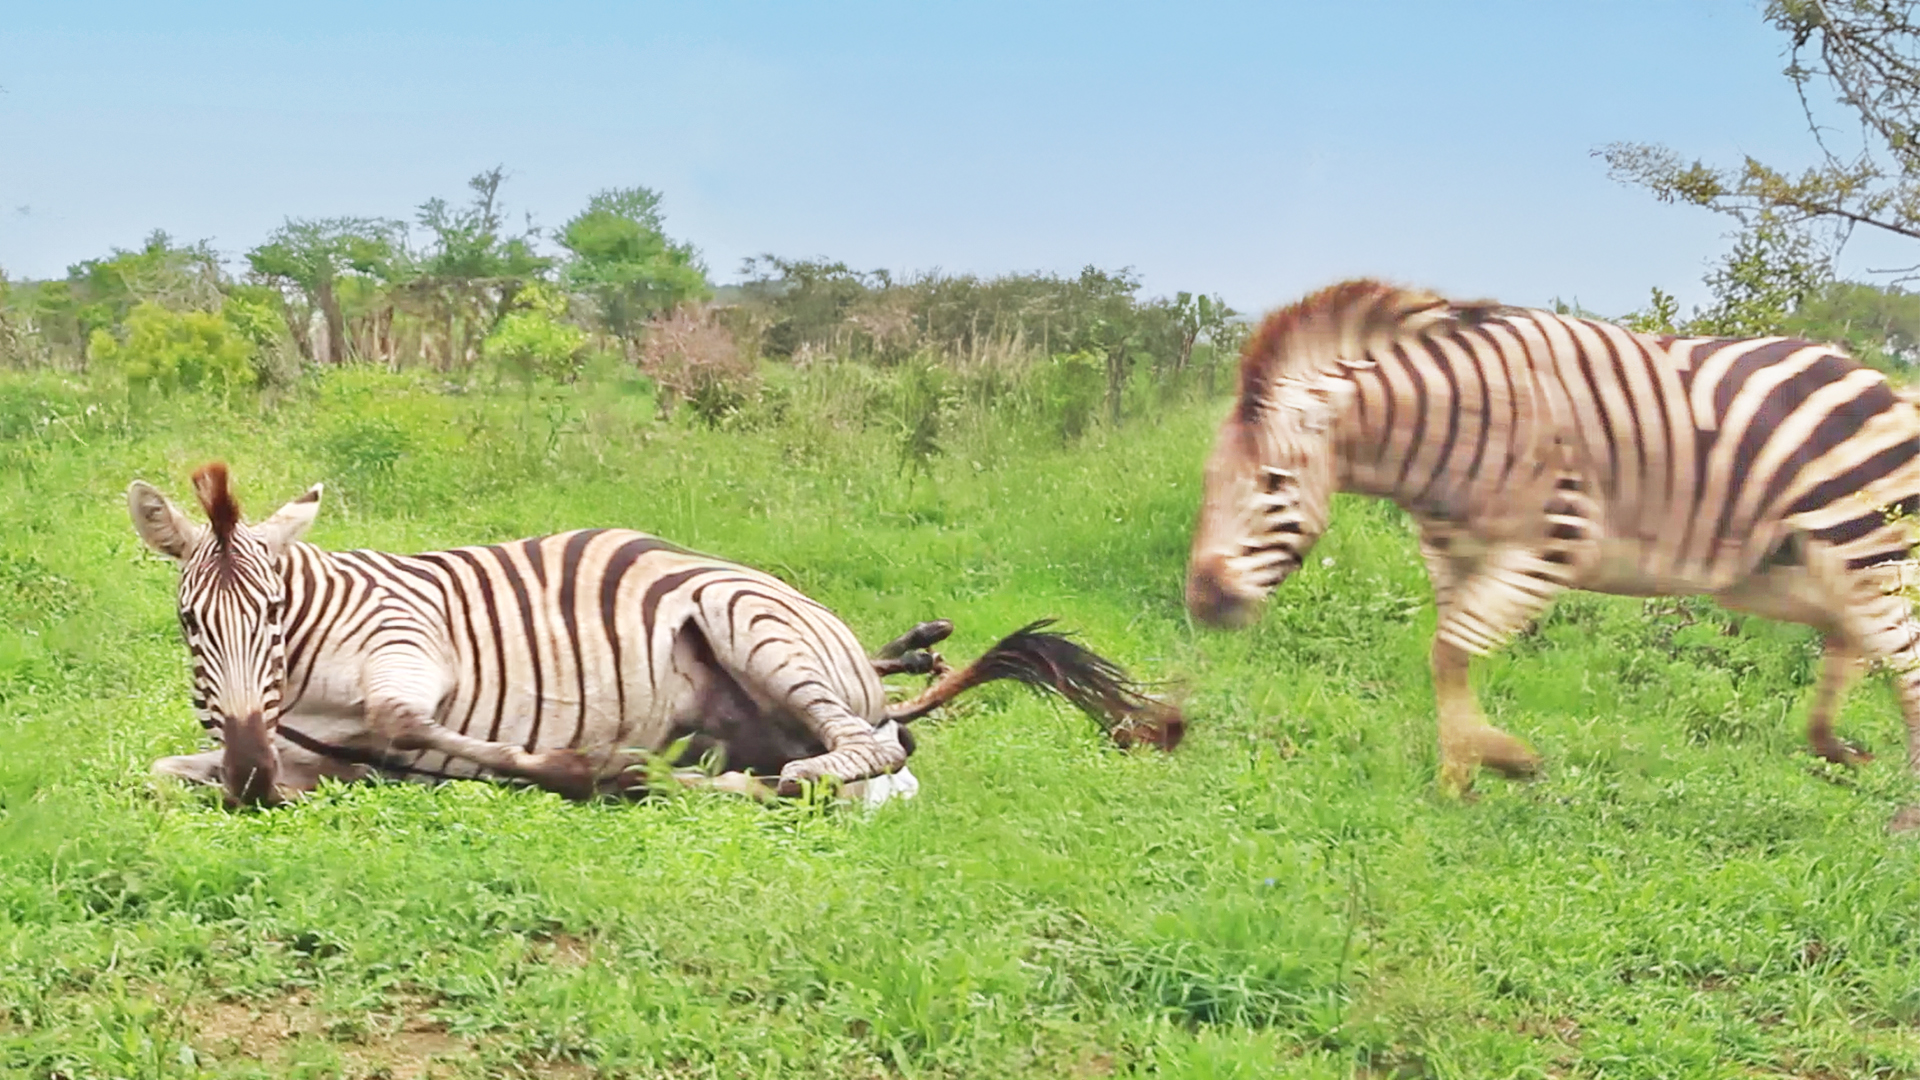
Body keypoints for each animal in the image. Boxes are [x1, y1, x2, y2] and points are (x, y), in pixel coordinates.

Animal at [127, 457, 1175, 803]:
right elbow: (165, 770)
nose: (253, 776)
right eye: (189, 624)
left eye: (271, 617)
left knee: (855, 755)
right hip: (737, 715)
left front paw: (579, 766)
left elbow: (404, 726)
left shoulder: (411, 648)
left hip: (747, 621)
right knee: (840, 748)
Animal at [1182, 282, 1920, 795]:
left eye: (1274, 484)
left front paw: (1497, 762)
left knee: (1902, 657)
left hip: (1859, 541)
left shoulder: (1548, 546)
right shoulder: (1450, 555)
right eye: (1209, 481)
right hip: (1780, 569)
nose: (1203, 604)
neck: (1440, 428)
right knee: (1852, 636)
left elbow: (1450, 651)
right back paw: (1833, 745)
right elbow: (1447, 659)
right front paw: (1464, 774)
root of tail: (1883, 382)